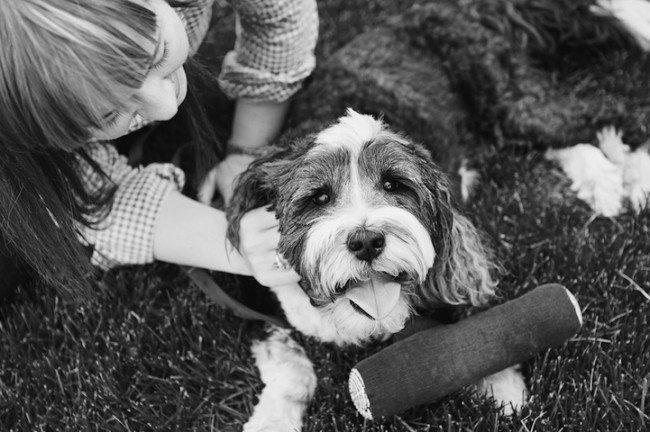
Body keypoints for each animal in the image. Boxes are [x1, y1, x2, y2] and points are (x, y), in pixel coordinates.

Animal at [225, 109, 524, 430]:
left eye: (392, 185)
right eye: (320, 197)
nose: (366, 241)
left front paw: (502, 386)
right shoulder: (255, 301)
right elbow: (291, 369)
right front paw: (272, 420)